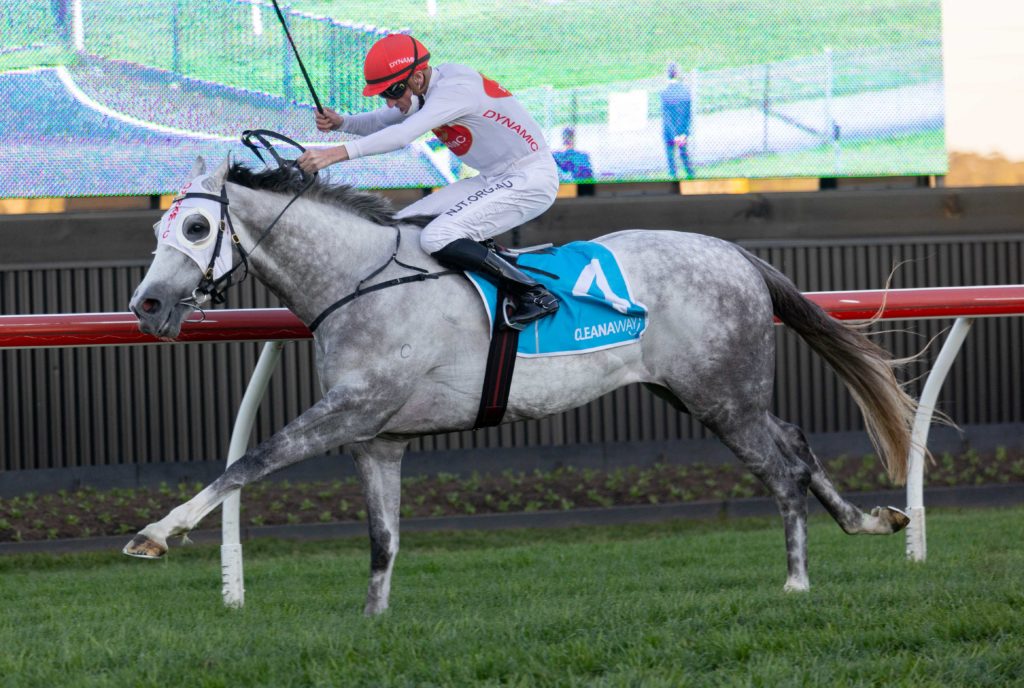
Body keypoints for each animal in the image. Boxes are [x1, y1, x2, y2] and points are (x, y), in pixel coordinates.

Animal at [125, 155, 917, 615]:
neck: (360, 280)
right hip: (704, 391)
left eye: (196, 228)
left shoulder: (348, 410)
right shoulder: (378, 439)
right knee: (798, 443)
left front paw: (157, 534)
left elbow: (249, 462)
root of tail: (734, 252)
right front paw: (373, 624)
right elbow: (383, 539)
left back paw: (797, 582)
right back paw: (872, 520)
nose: (148, 305)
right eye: (160, 229)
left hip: (721, 396)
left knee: (782, 471)